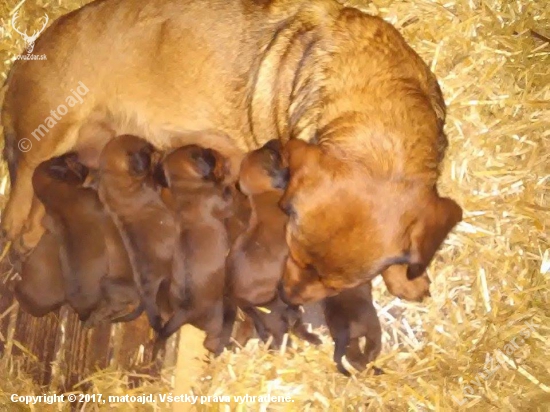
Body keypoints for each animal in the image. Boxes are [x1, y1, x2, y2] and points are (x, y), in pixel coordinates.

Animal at [30, 153, 140, 324]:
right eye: (67, 162)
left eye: (53, 159)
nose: (74, 153)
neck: (56, 194)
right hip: (107, 285)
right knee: (116, 309)